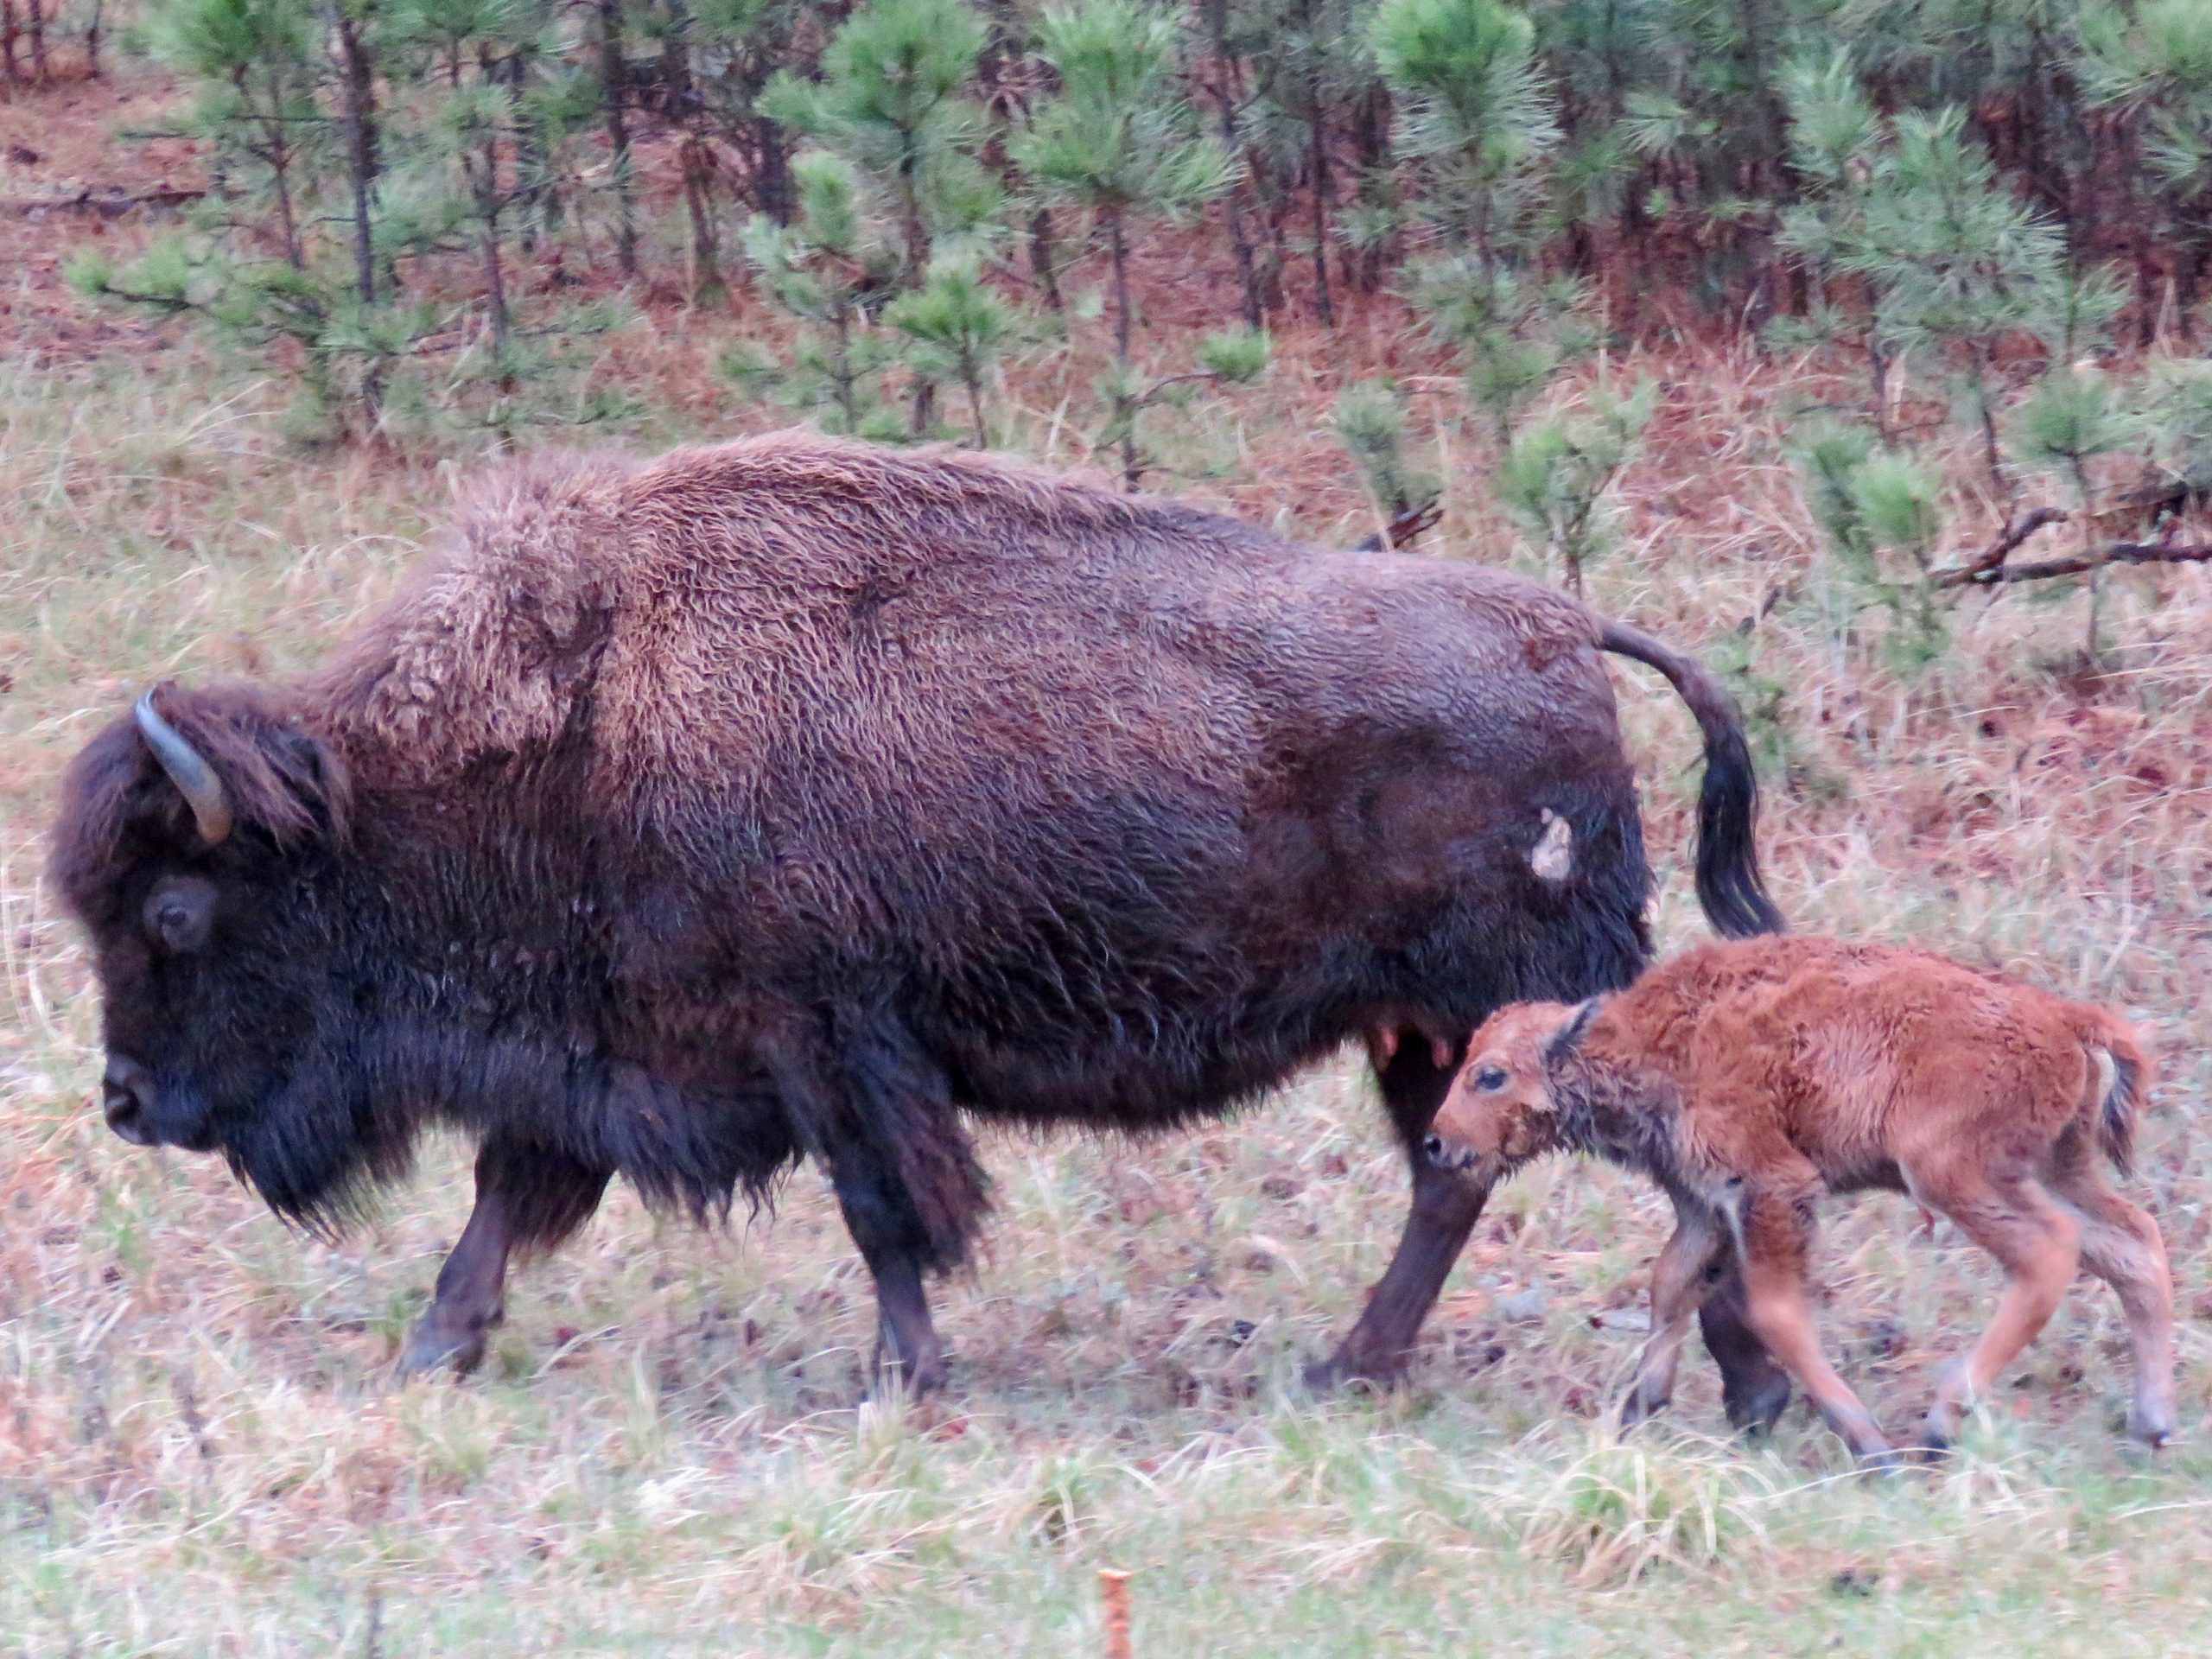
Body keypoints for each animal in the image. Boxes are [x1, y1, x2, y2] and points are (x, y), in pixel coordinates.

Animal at [52, 433, 1789, 1414]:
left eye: (181, 908)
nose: (124, 1103)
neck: (583, 711)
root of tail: (1565, 627)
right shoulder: (608, 1052)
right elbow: (507, 1193)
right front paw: (435, 1353)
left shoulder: (826, 1042)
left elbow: (886, 1213)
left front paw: (902, 1384)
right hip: (1429, 1030)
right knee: (1451, 1183)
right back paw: (1365, 1371)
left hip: (1520, 1001)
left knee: (1633, 1177)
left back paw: (1735, 1392)